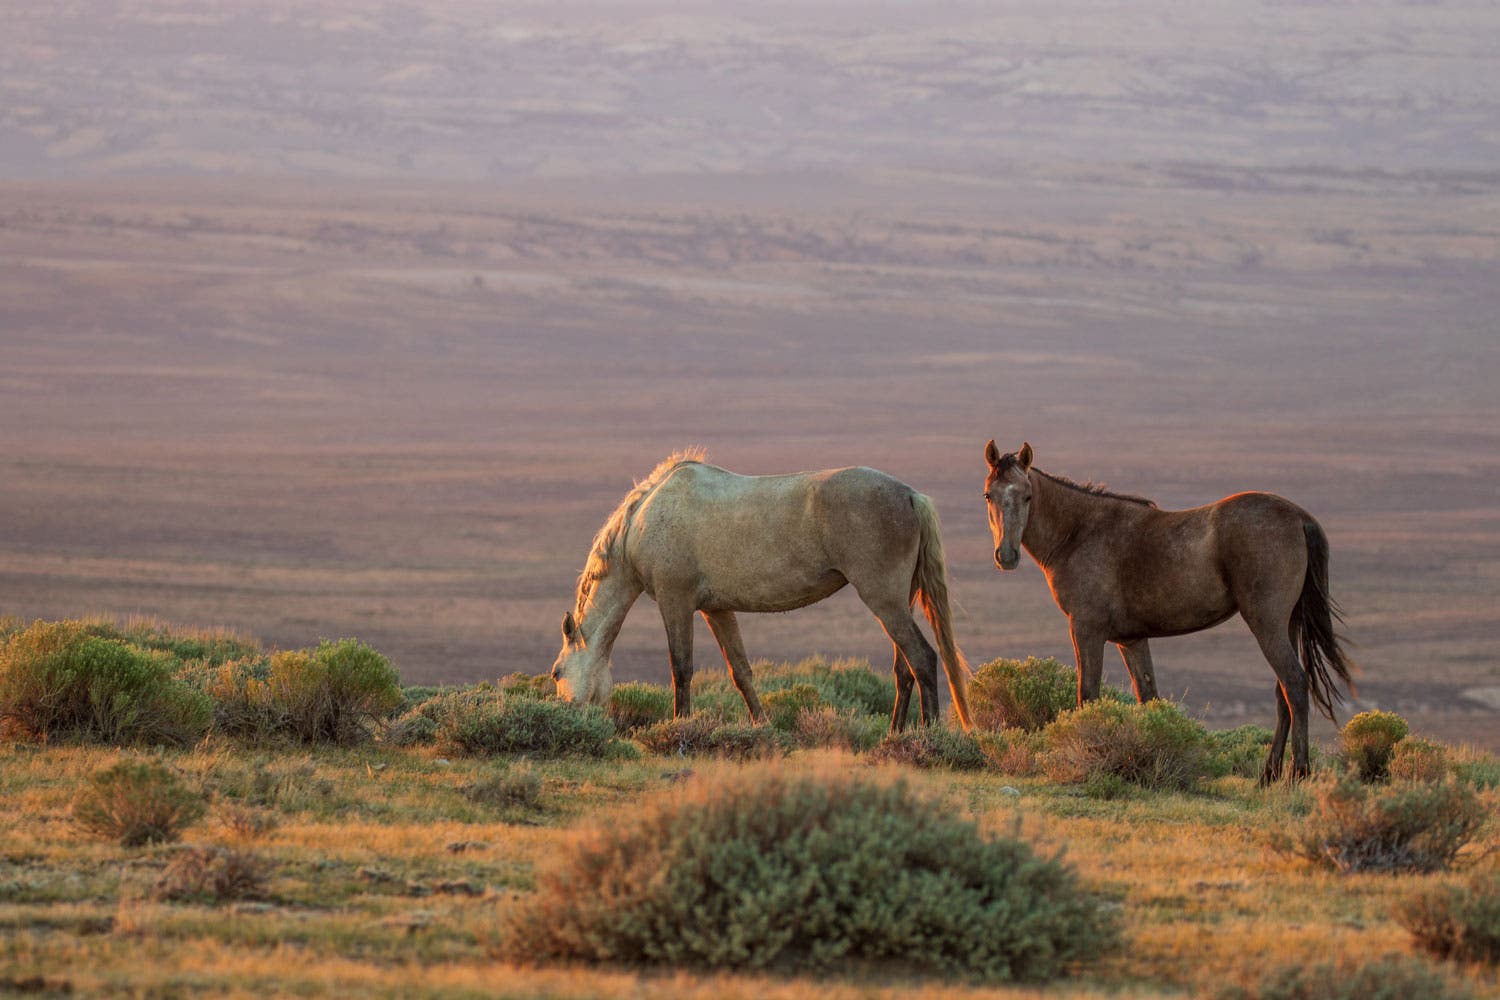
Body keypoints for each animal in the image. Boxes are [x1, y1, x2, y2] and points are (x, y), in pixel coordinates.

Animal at [551, 449, 972, 733]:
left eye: (556, 674)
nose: (568, 717)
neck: (643, 521)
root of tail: (910, 495)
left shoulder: (676, 603)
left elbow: (681, 668)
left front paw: (681, 725)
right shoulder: (716, 610)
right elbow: (741, 672)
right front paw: (762, 725)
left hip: (883, 600)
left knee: (923, 658)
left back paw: (928, 737)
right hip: (899, 603)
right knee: (904, 668)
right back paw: (894, 735)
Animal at [982, 440, 1355, 783]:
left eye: (1027, 496)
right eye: (989, 496)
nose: (1007, 556)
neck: (1078, 534)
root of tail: (1300, 518)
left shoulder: (1086, 630)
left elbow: (1087, 694)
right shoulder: (1131, 640)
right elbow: (1148, 697)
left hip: (1267, 623)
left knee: (1294, 684)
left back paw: (1299, 773)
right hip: (1288, 624)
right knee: (1283, 694)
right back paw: (1269, 774)